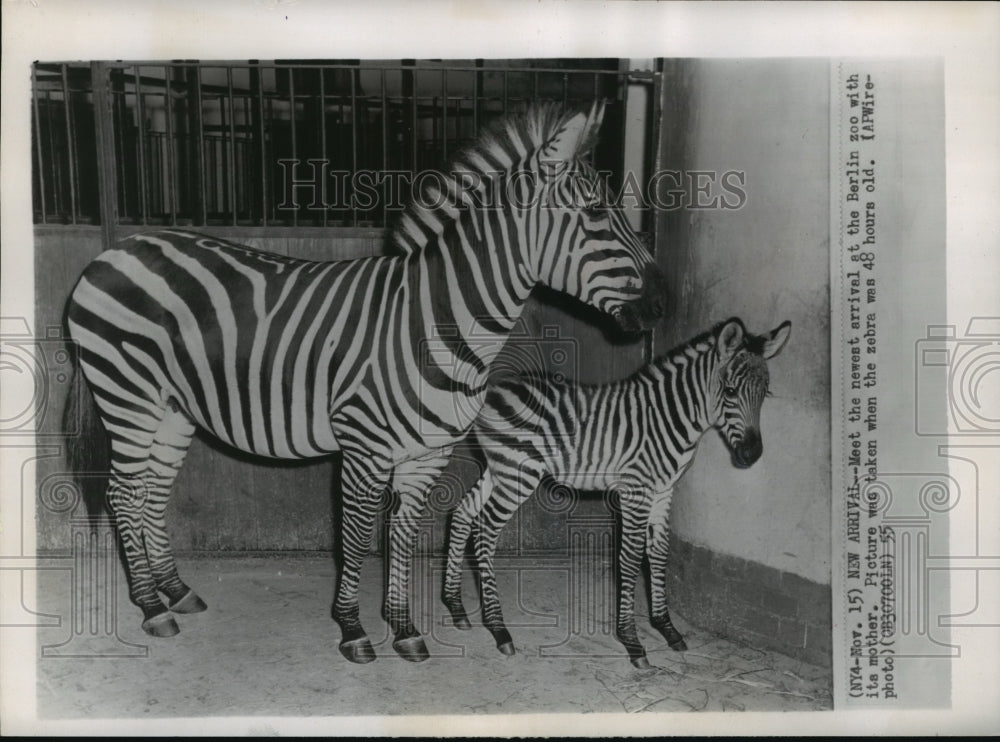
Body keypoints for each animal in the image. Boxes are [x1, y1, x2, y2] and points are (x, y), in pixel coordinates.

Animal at [66, 101, 668, 664]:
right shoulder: (364, 445)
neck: (437, 319)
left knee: (152, 489)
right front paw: (353, 629)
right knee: (123, 492)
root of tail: (115, 249)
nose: (663, 304)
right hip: (127, 395)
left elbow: (400, 534)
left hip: (171, 408)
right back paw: (151, 608)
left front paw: (403, 628)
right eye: (596, 212)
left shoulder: (427, 453)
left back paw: (175, 591)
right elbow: (355, 537)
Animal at [444, 318, 788, 668]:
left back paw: (456, 607)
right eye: (730, 391)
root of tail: (494, 388)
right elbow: (631, 556)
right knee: (485, 529)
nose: (751, 455)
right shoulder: (636, 490)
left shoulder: (663, 490)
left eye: (765, 393)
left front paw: (666, 627)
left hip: (498, 468)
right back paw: (498, 628)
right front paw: (632, 641)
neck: (669, 418)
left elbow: (659, 552)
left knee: (462, 512)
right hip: (518, 473)